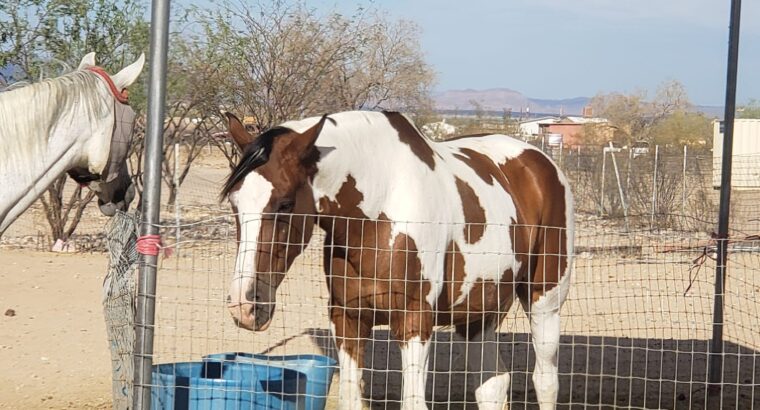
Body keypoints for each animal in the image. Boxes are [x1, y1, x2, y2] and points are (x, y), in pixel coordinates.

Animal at [223, 110, 572, 408]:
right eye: (235, 203)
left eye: (285, 203)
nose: (245, 304)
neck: (382, 209)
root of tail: (540, 162)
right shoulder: (348, 319)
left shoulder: (415, 322)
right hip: (479, 314)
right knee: (492, 384)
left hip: (545, 302)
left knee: (545, 381)